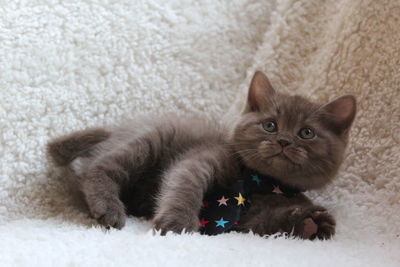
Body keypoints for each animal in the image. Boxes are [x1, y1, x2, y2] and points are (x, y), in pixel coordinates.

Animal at [47, 71, 356, 241]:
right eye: (270, 125)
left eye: (306, 133)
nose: (283, 140)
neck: (259, 180)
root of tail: (116, 130)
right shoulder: (203, 158)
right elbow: (186, 184)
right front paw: (178, 223)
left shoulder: (247, 220)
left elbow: (263, 223)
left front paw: (310, 223)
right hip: (153, 137)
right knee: (102, 167)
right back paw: (108, 207)